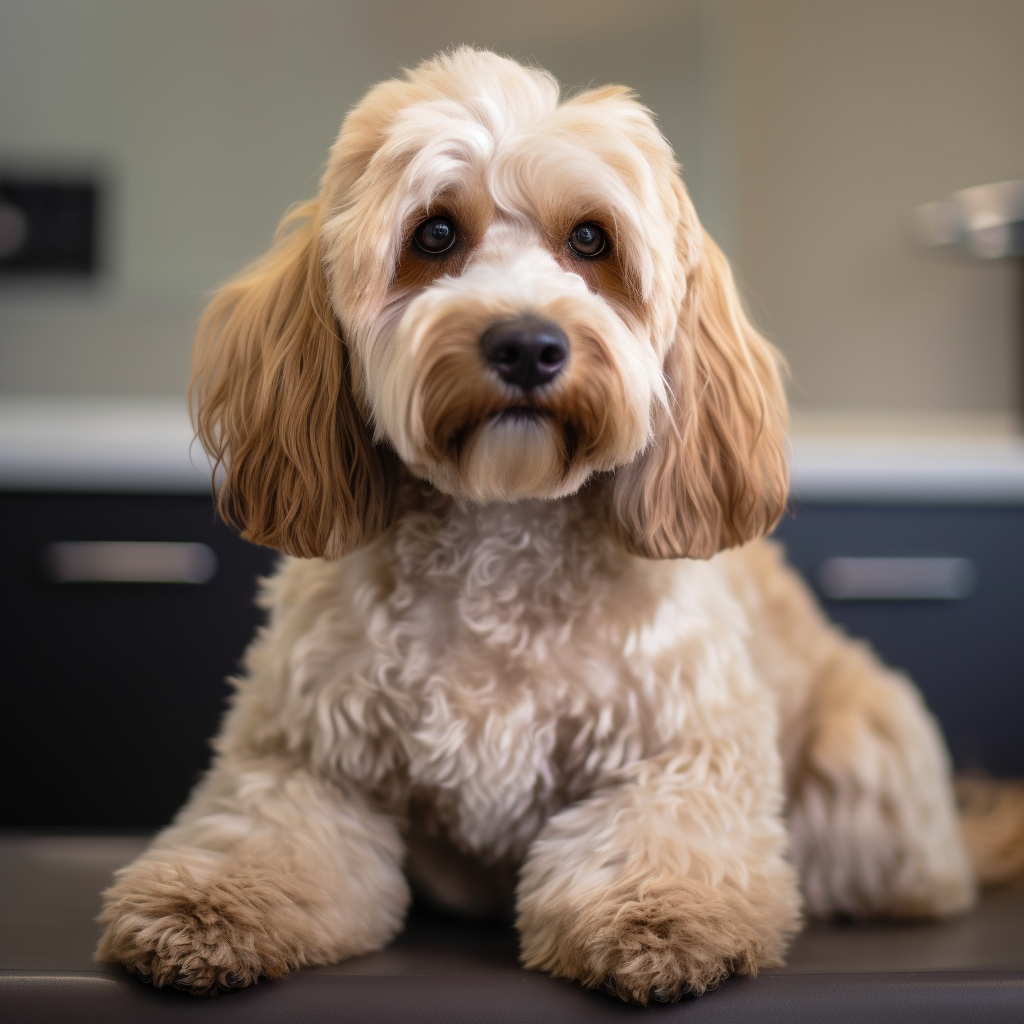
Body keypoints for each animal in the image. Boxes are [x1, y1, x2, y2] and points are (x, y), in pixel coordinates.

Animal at [97, 46, 991, 999]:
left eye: (591, 240)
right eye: (435, 235)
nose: (527, 344)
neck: (502, 526)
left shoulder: (688, 748)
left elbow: (658, 843)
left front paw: (659, 919)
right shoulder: (298, 755)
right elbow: (256, 834)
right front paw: (205, 909)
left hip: (866, 747)